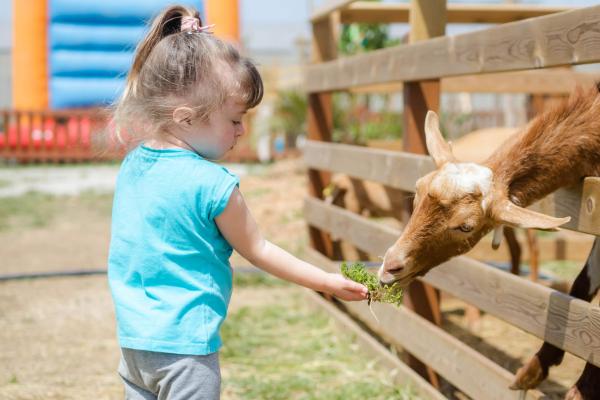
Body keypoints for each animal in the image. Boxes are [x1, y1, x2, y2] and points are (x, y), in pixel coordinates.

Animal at [378, 86, 600, 398]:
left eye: (466, 226)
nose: (390, 267)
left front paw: (580, 389)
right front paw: (532, 372)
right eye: (417, 191)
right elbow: (582, 283)